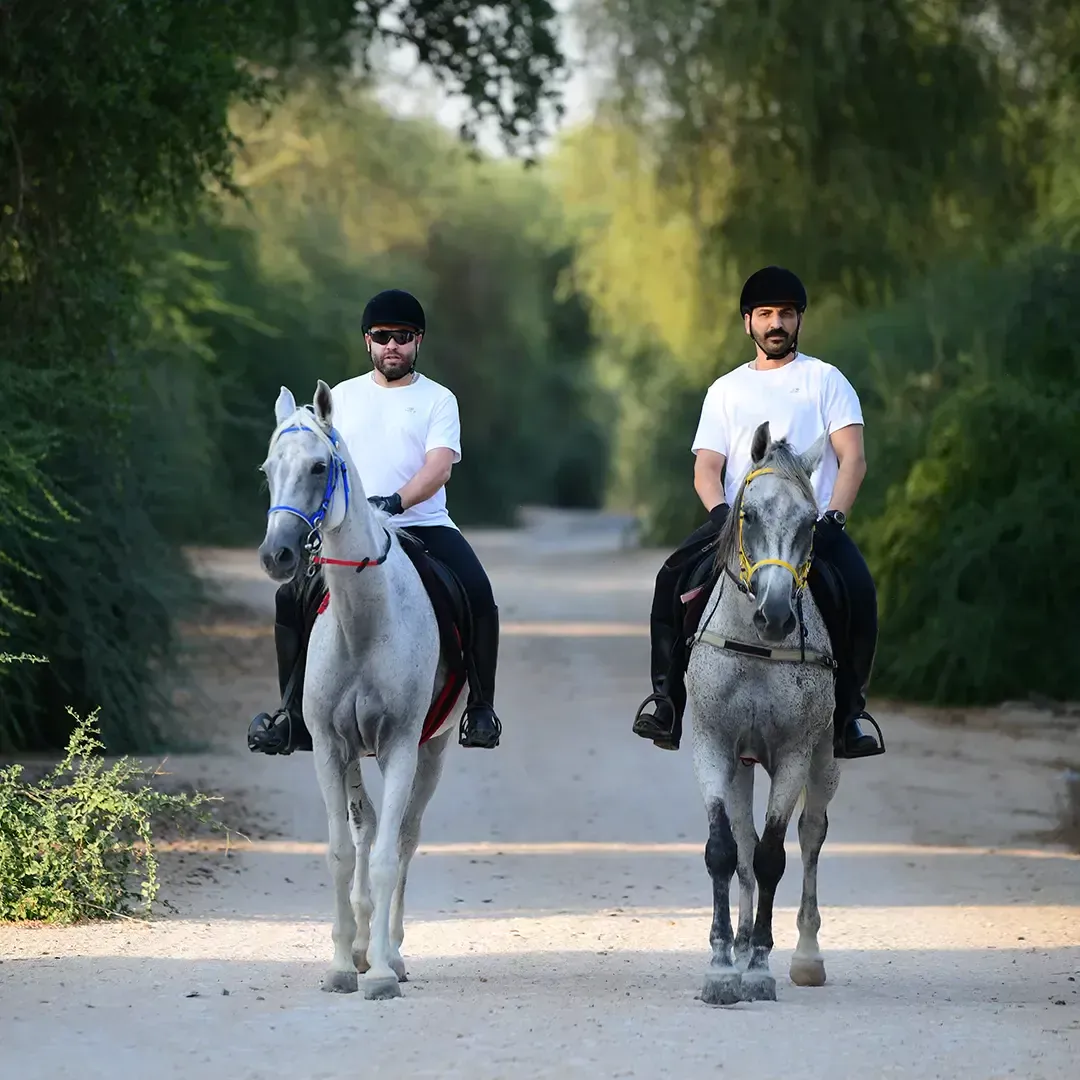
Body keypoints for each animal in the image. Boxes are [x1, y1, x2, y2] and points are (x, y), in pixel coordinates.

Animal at [257, 379, 468, 1000]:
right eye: (268, 469)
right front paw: (339, 965)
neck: (365, 621)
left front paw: (377, 975)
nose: (277, 556)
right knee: (367, 828)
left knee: (403, 839)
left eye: (319, 466)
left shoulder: (400, 744)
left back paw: (390, 953)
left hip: (432, 751)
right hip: (355, 755)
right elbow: (340, 853)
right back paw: (359, 945)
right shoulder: (330, 747)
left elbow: (384, 857)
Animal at [684, 420, 842, 1006]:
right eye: (748, 514)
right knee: (746, 846)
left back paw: (806, 956)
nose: (774, 616)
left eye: (810, 522)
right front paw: (721, 968)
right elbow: (725, 851)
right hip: (742, 765)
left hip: (826, 759)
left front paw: (757, 969)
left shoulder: (794, 753)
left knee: (812, 834)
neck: (754, 651)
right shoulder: (712, 746)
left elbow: (775, 855)